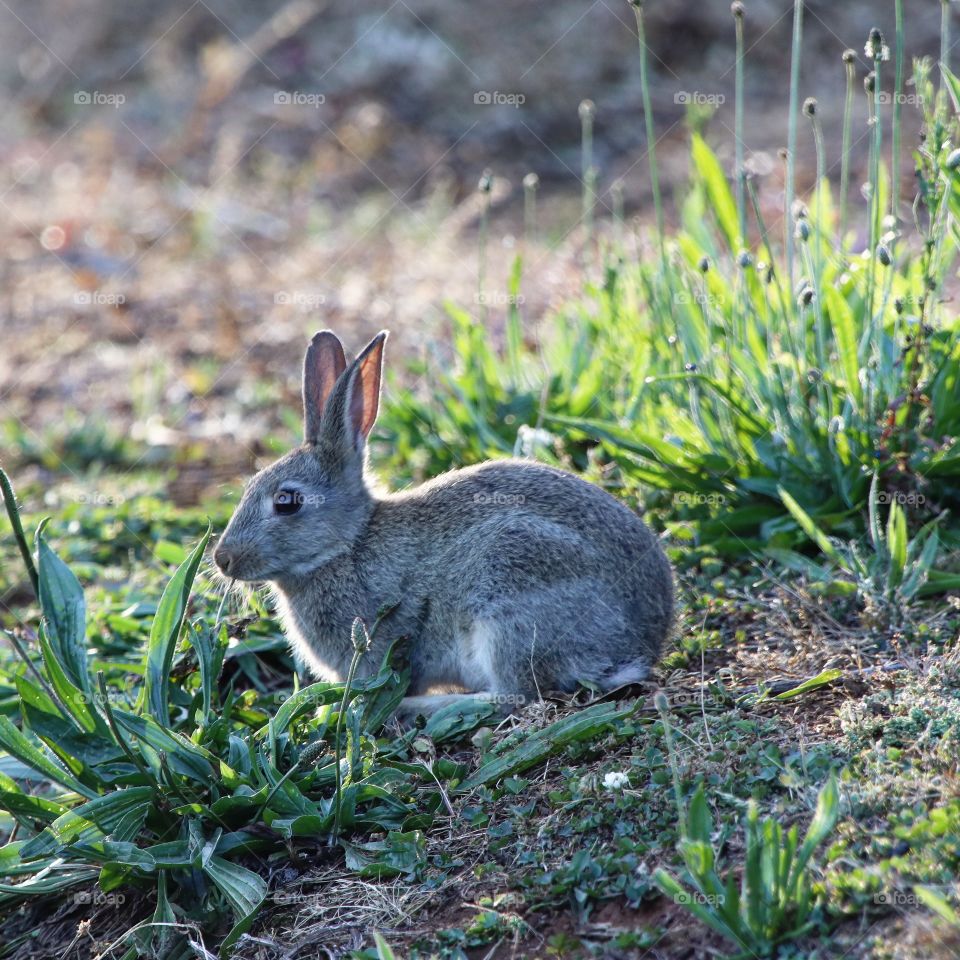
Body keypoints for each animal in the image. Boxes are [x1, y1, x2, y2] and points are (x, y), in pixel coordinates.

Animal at [214, 330, 674, 718]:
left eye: (286, 502)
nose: (223, 559)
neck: (347, 545)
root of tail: (639, 644)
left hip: (509, 599)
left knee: (515, 696)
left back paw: (423, 708)